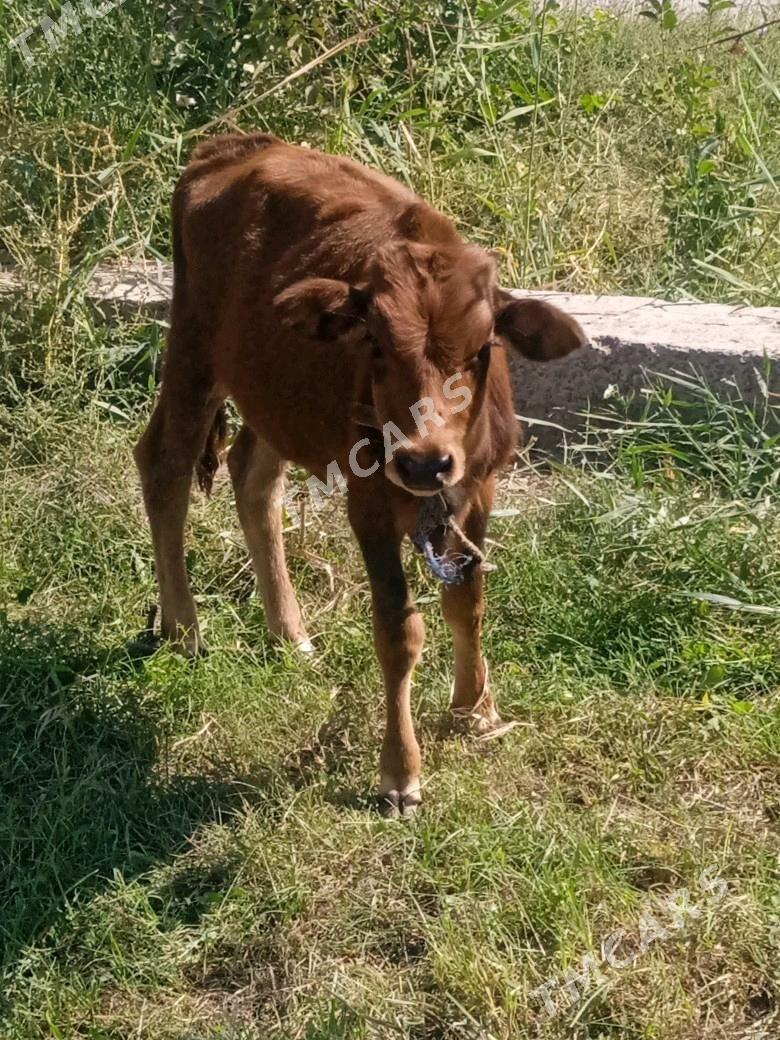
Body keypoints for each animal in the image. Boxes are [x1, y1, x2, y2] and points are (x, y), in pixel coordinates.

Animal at [136, 132, 586, 811]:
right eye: (374, 343)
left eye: (483, 349)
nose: (425, 459)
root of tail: (234, 145)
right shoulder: (369, 503)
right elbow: (398, 630)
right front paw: (400, 773)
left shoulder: (479, 489)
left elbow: (468, 601)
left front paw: (475, 710)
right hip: (192, 348)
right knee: (164, 463)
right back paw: (184, 630)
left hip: (272, 393)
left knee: (252, 476)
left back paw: (289, 633)